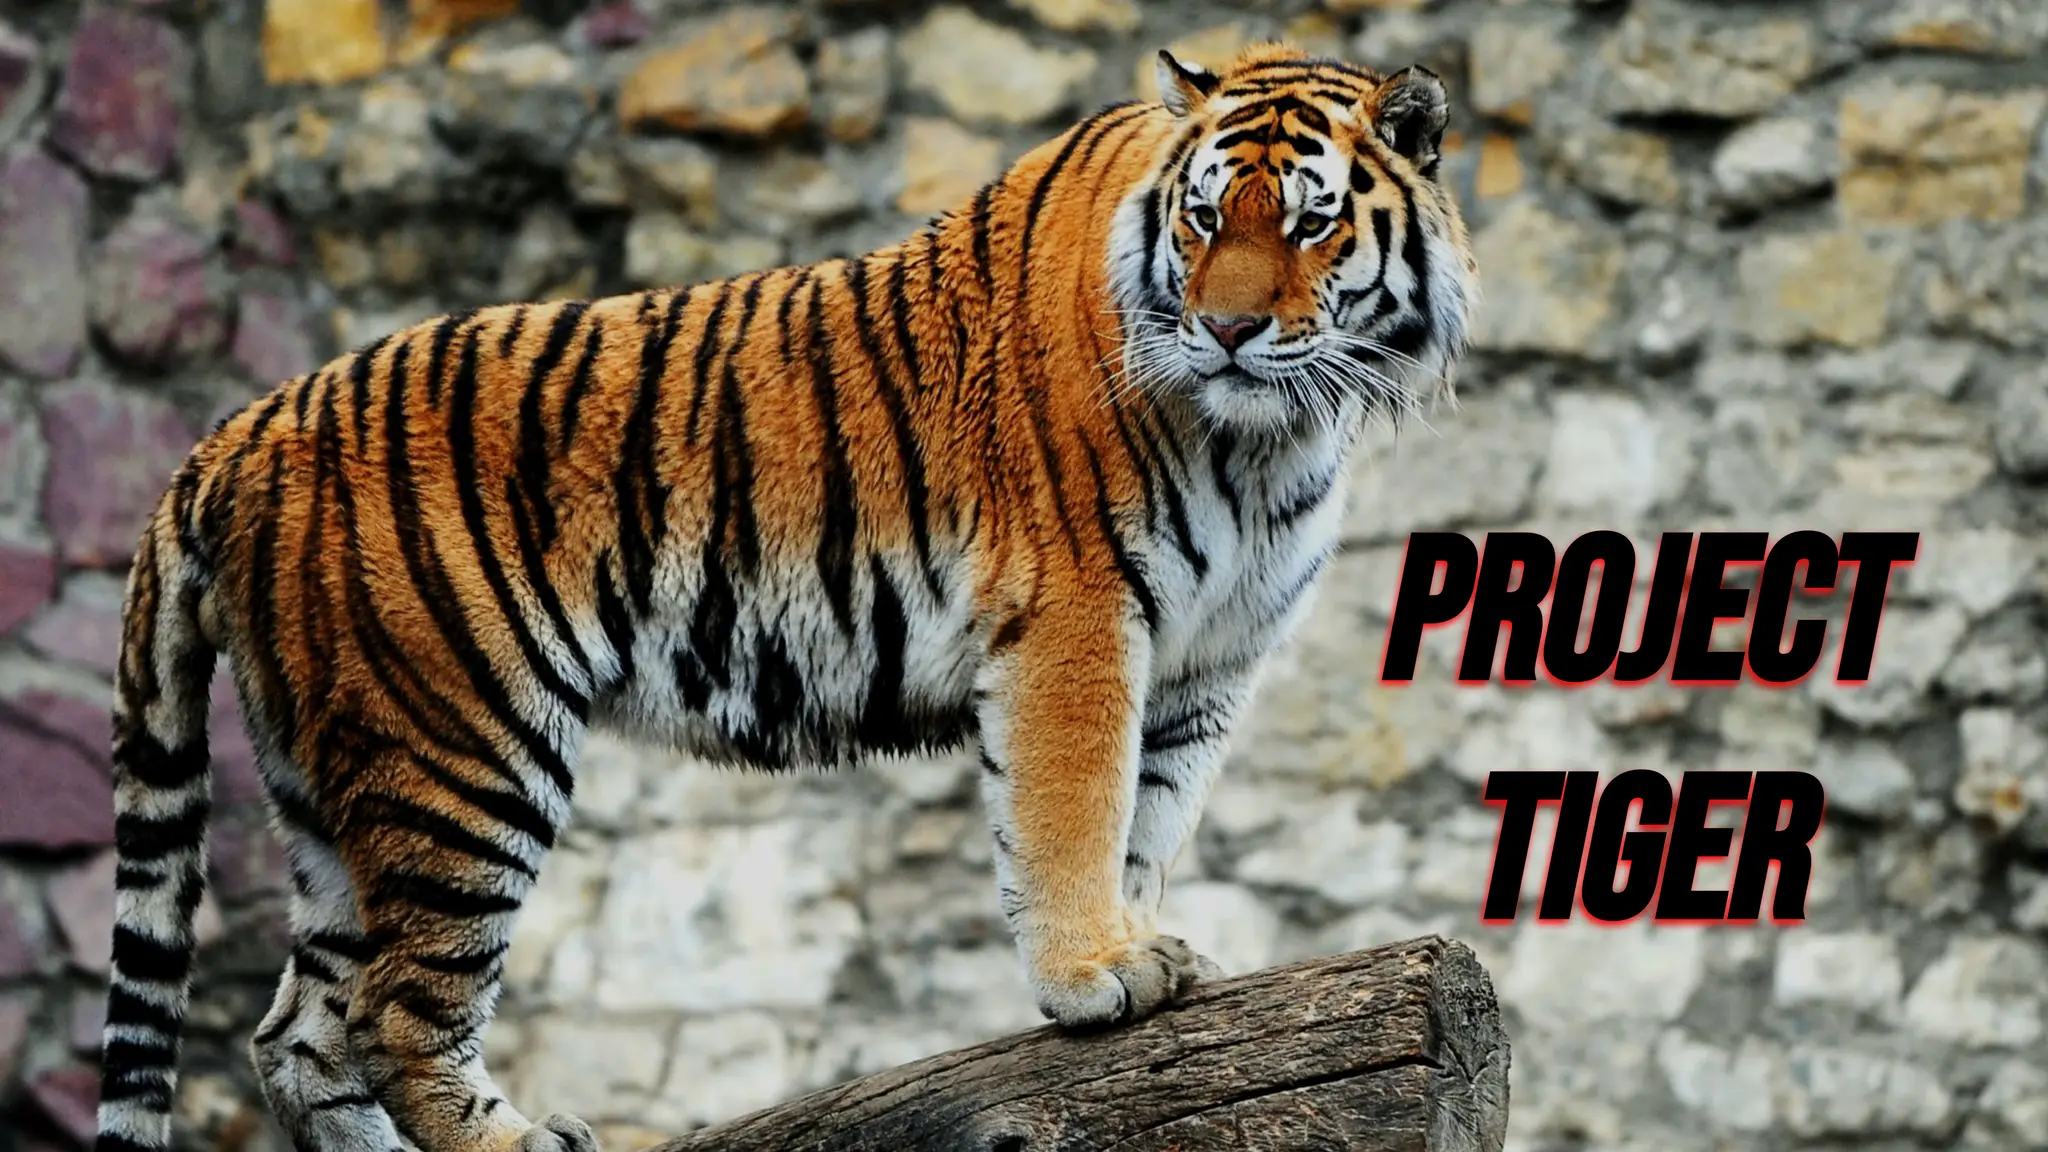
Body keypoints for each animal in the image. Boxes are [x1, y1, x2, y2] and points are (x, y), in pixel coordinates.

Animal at [92, 41, 1476, 1152]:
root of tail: (233, 434)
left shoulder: (1204, 662)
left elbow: (1150, 814)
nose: (1227, 331)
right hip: (460, 751)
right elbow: (1076, 808)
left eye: (1305, 225)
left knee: (298, 1032)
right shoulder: (1079, 615)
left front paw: (1144, 949)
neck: (1268, 437)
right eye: (1200, 221)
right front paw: (1093, 975)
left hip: (332, 783)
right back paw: (517, 1140)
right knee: (391, 1013)